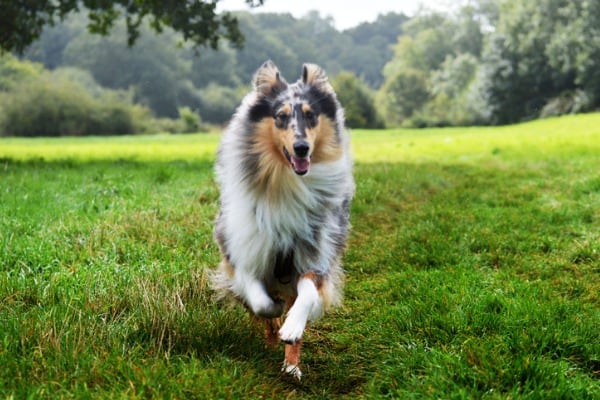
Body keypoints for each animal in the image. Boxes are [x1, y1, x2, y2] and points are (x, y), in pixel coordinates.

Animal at [211, 61, 354, 380]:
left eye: (311, 115)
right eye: (280, 116)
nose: (301, 148)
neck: (286, 182)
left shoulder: (316, 255)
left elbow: (307, 294)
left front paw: (291, 328)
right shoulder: (244, 253)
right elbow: (261, 301)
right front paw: (273, 315)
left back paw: (291, 366)